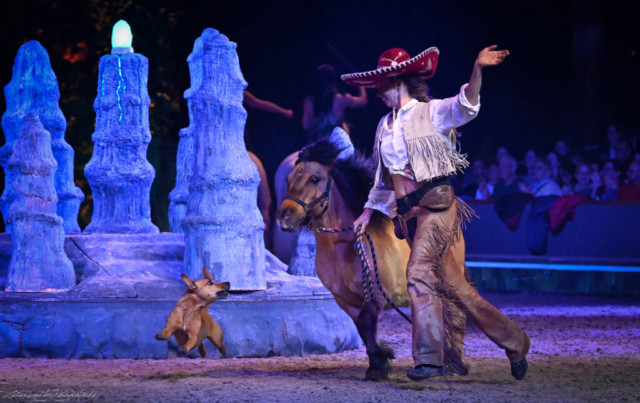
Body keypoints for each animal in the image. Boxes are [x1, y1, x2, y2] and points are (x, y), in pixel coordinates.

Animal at [276, 140, 410, 382]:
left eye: (314, 179)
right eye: (288, 180)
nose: (284, 216)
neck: (344, 246)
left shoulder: (376, 295)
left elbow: (366, 322)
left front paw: (380, 363)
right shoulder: (344, 299)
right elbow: (361, 327)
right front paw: (379, 361)